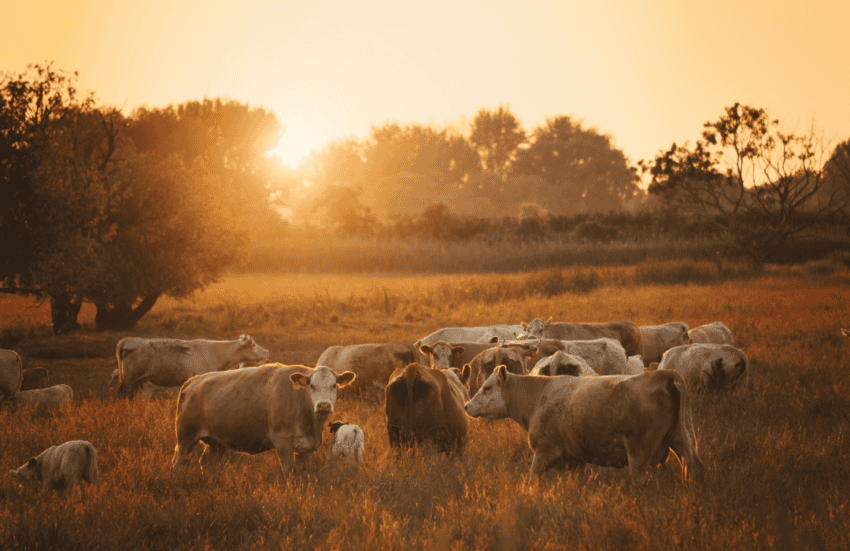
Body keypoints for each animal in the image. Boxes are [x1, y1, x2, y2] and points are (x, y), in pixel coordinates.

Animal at [172, 364, 355, 475]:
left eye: (334, 385)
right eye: (312, 386)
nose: (323, 406)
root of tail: (193, 381)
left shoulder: (304, 448)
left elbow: (301, 471)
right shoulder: (282, 442)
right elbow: (289, 470)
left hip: (216, 443)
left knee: (206, 462)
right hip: (185, 438)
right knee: (178, 461)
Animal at [464, 366, 704, 487]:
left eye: (487, 387)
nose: (467, 406)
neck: (539, 396)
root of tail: (658, 375)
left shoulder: (544, 450)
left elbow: (532, 478)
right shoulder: (575, 459)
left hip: (639, 452)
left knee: (640, 480)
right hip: (682, 439)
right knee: (695, 467)